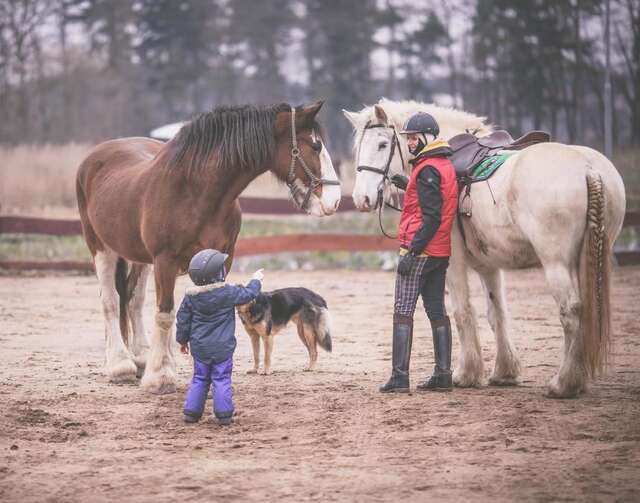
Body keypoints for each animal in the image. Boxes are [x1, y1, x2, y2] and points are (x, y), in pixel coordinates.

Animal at [75, 101, 340, 394]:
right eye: (315, 145)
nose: (336, 200)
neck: (196, 190)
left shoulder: (222, 257)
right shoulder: (165, 260)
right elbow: (165, 314)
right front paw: (161, 377)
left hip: (139, 257)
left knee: (133, 300)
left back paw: (142, 358)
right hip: (101, 248)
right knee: (111, 301)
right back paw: (120, 366)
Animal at [344, 98, 624, 398]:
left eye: (382, 144)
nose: (361, 198)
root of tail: (588, 168)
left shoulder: (452, 262)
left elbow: (462, 311)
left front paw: (465, 373)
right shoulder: (489, 264)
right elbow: (496, 313)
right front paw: (504, 371)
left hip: (556, 263)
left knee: (571, 312)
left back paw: (564, 383)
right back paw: (577, 379)